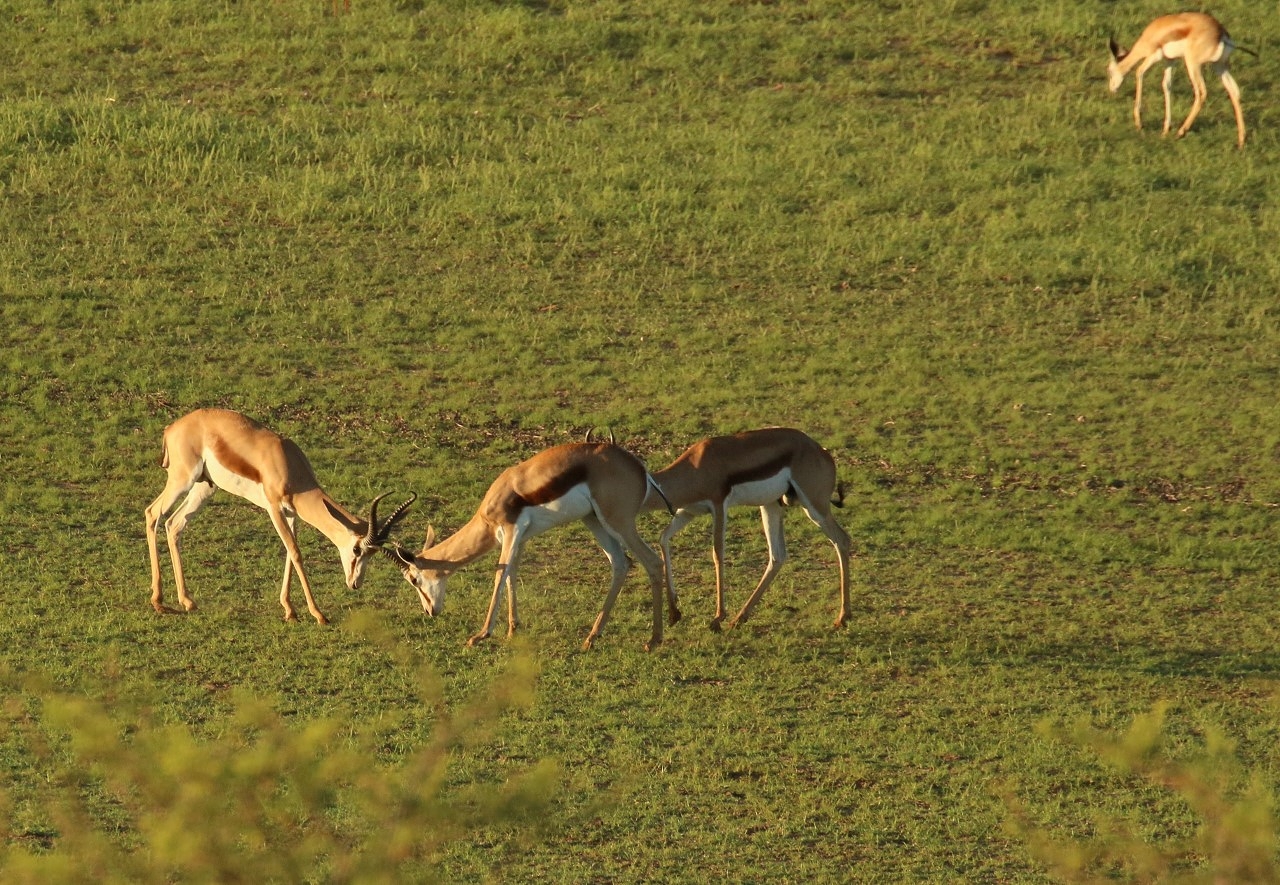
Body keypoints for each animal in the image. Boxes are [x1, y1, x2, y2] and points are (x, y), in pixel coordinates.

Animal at [145, 408, 416, 624]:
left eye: (372, 554)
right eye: (357, 550)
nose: (355, 584)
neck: (287, 462)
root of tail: (172, 427)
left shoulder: (292, 514)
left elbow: (289, 553)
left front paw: (290, 610)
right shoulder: (274, 509)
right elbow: (296, 553)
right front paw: (318, 614)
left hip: (205, 487)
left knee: (174, 524)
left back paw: (187, 601)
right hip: (182, 480)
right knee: (152, 513)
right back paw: (158, 601)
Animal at [385, 440, 675, 651]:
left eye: (413, 579)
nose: (429, 611)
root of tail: (640, 469)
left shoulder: (511, 530)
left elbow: (500, 573)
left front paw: (480, 635)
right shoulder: (520, 537)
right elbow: (512, 573)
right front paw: (512, 630)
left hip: (618, 522)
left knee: (651, 561)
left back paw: (654, 639)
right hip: (593, 520)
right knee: (621, 563)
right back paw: (592, 638)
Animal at [644, 427, 852, 630]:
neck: (696, 465)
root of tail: (822, 452)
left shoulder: (719, 507)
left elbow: (717, 554)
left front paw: (717, 618)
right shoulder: (688, 512)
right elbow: (663, 538)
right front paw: (674, 613)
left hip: (814, 508)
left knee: (842, 540)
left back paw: (842, 617)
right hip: (771, 506)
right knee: (777, 555)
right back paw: (739, 618)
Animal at [1107, 12, 1247, 148]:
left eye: (1109, 71)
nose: (1111, 89)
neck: (1151, 35)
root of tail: (1221, 33)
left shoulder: (1154, 56)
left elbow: (1139, 72)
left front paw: (1139, 123)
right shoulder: (1170, 60)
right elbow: (1166, 85)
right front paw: (1165, 130)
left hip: (1193, 65)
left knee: (1201, 93)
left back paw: (1181, 132)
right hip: (1219, 66)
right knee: (1234, 91)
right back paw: (1241, 141)